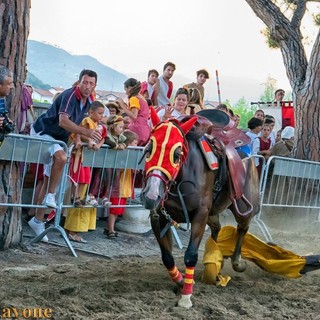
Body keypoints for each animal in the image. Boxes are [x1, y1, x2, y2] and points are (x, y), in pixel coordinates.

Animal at [141, 114, 262, 308]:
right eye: (148, 149)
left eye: (177, 154)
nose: (151, 195)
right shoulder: (159, 217)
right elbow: (167, 257)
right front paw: (181, 281)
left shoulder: (200, 215)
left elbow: (190, 255)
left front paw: (186, 297)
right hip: (214, 211)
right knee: (216, 229)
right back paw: (215, 259)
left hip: (244, 206)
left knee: (242, 228)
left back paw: (236, 262)